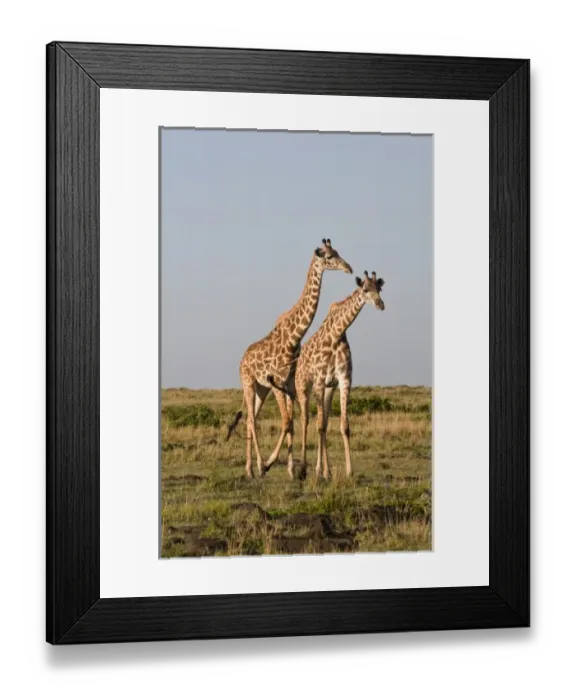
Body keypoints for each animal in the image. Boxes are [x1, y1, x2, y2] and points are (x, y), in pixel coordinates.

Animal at [229, 239, 353, 480]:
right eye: (329, 256)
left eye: (338, 252)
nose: (349, 268)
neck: (294, 337)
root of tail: (241, 359)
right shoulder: (277, 381)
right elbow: (286, 422)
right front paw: (269, 465)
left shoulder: (289, 383)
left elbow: (292, 423)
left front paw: (291, 470)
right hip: (248, 382)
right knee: (251, 420)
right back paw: (257, 466)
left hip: (261, 389)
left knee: (250, 419)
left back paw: (249, 469)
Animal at [295, 271, 385, 480]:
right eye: (365, 289)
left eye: (380, 288)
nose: (380, 304)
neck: (337, 333)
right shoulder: (319, 381)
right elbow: (318, 425)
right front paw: (315, 471)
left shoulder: (344, 380)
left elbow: (343, 426)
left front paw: (348, 471)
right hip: (303, 387)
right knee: (305, 420)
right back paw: (304, 469)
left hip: (329, 388)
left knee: (324, 422)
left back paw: (325, 471)